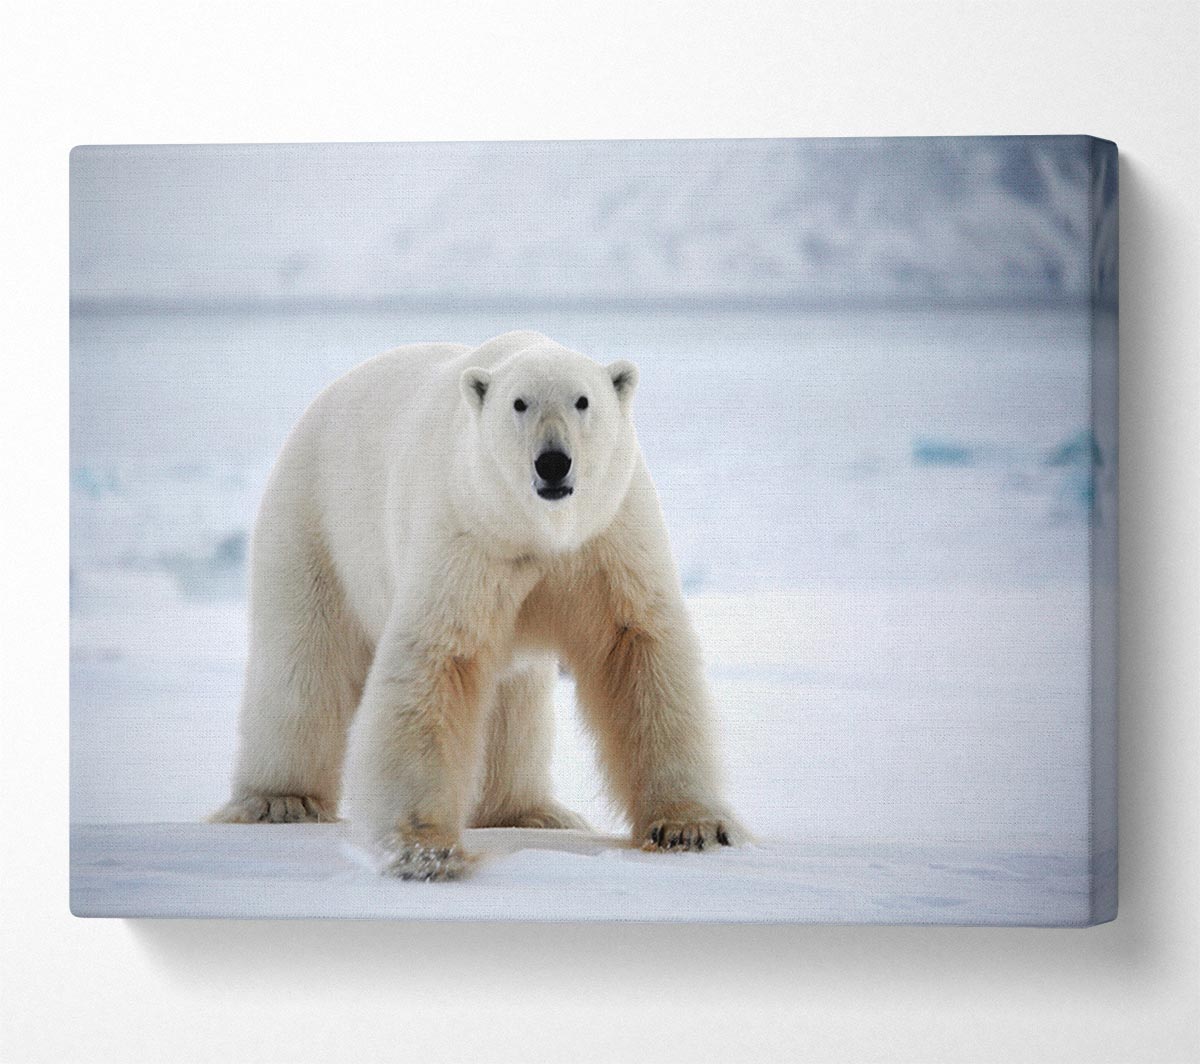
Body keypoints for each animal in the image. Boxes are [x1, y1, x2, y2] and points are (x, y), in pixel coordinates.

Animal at [211, 330, 742, 879]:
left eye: (582, 400)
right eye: (519, 403)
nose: (553, 461)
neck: (537, 530)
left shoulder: (609, 536)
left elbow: (639, 650)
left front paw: (690, 827)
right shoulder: (468, 532)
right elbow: (438, 660)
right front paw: (426, 851)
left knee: (515, 700)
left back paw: (532, 811)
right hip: (316, 521)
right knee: (305, 661)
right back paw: (279, 800)